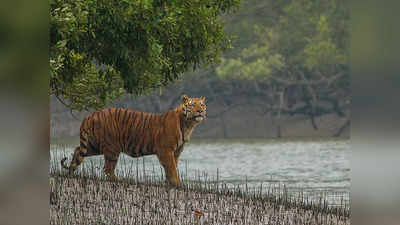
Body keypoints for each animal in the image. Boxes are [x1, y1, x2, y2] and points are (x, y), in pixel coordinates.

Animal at [61, 94, 206, 185]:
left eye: (202, 105)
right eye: (192, 104)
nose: (200, 111)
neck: (188, 124)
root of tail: (90, 115)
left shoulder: (176, 152)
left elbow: (172, 167)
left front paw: (169, 182)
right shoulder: (165, 150)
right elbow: (171, 168)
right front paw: (177, 183)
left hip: (93, 145)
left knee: (78, 151)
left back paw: (70, 172)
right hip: (112, 148)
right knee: (107, 168)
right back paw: (119, 180)